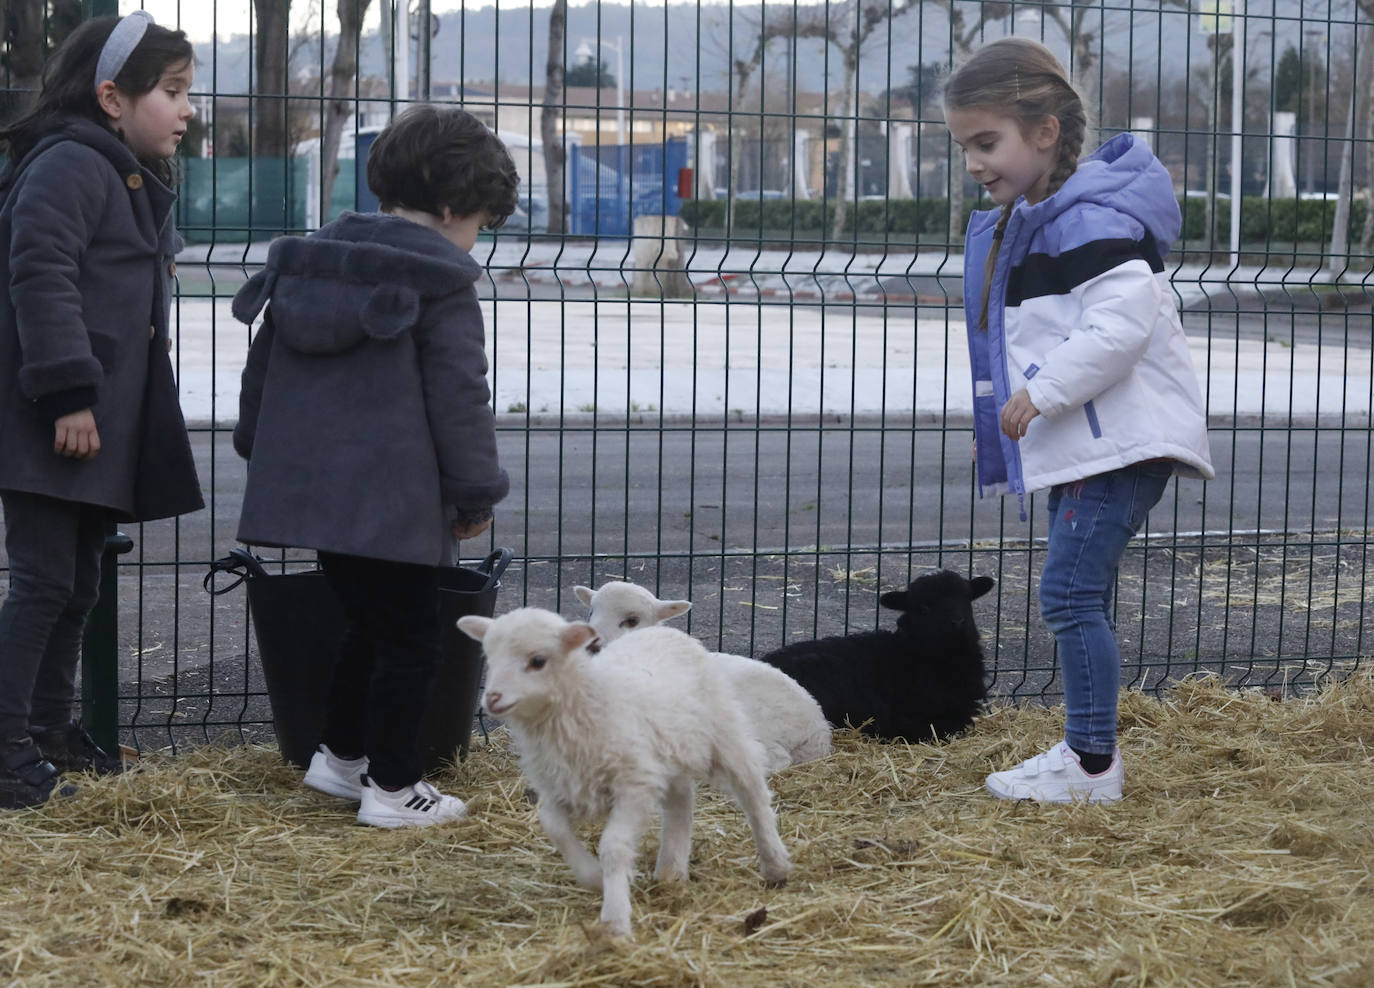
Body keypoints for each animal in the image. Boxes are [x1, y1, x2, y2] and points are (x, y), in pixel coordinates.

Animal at [456, 607, 791, 939]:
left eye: (538, 661)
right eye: (489, 656)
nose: (492, 698)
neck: (585, 702)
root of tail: (663, 630)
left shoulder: (634, 783)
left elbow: (614, 847)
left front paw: (615, 919)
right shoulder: (557, 785)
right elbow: (553, 826)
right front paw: (592, 876)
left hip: (724, 731)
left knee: (752, 791)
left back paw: (775, 864)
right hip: (669, 751)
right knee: (681, 801)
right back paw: (671, 872)